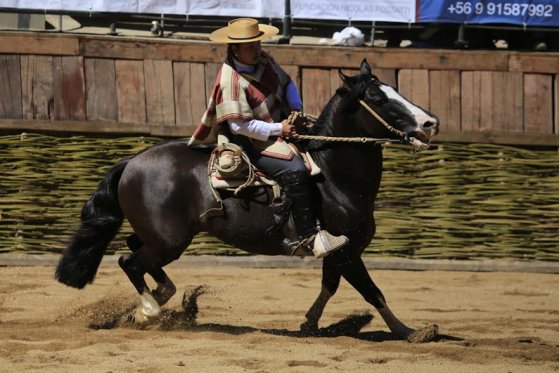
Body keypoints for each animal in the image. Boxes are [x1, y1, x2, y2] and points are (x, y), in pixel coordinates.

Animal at [54, 58, 440, 340]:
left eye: (395, 89)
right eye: (378, 99)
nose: (430, 122)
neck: (332, 173)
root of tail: (131, 161)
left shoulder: (340, 252)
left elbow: (330, 286)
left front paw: (309, 323)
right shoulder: (347, 251)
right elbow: (372, 291)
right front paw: (410, 330)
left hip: (162, 237)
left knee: (137, 254)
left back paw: (163, 297)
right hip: (168, 241)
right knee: (128, 261)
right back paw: (149, 310)